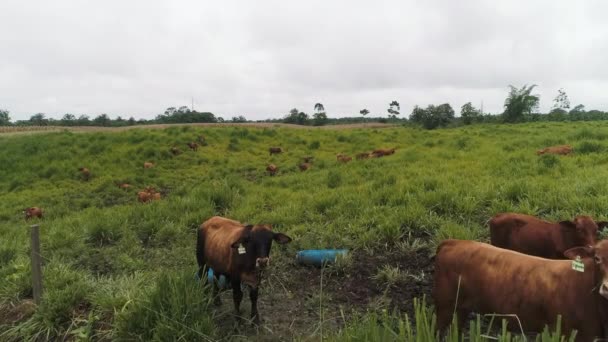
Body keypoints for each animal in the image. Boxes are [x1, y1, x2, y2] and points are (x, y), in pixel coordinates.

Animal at [434, 240, 608, 342]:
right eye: (597, 258)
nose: (607, 287)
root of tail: (454, 242)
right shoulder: (573, 334)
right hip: (445, 306)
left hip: (460, 309)